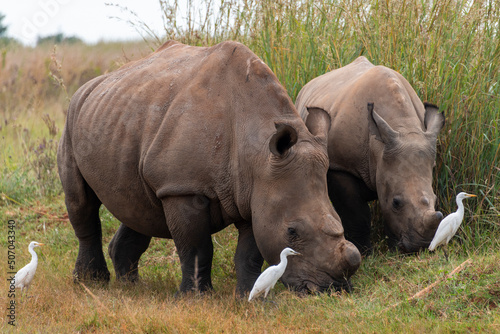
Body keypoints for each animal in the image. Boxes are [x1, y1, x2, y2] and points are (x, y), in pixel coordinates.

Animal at [58, 40, 362, 294]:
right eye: (292, 232)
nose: (332, 288)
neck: (257, 150)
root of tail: (95, 83)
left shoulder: (255, 191)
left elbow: (249, 252)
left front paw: (249, 296)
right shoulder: (183, 188)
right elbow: (196, 247)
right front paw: (195, 298)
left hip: (123, 116)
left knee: (139, 205)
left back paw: (130, 285)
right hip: (73, 116)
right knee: (81, 202)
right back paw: (91, 283)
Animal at [294, 56, 444, 253]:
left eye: (435, 199)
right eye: (396, 202)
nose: (422, 245)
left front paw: (394, 249)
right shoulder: (340, 166)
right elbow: (357, 213)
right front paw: (365, 252)